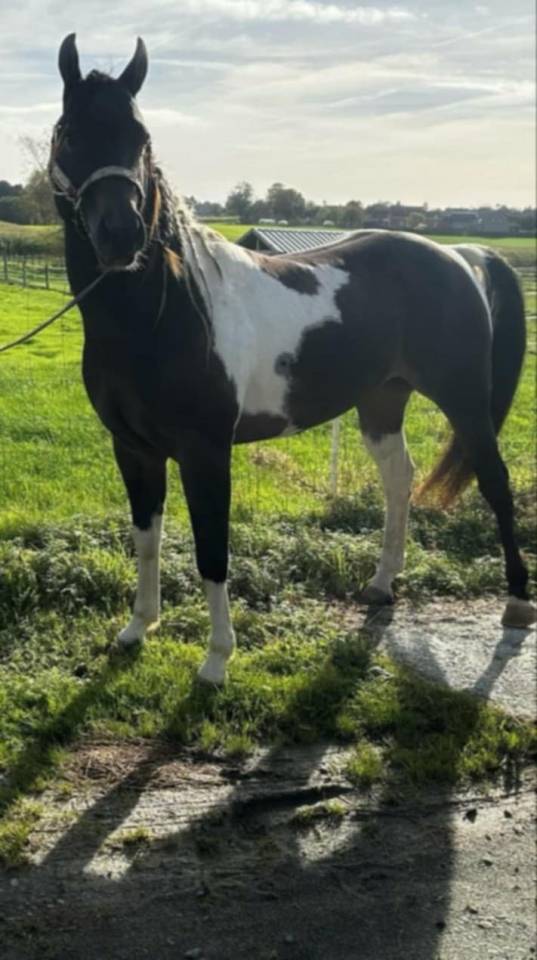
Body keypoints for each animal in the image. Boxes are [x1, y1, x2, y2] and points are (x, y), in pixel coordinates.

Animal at [49, 34, 535, 684]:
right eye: (70, 134)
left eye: (141, 137)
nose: (121, 236)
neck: (163, 313)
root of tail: (459, 254)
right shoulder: (133, 449)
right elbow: (146, 538)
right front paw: (137, 629)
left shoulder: (206, 452)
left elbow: (212, 551)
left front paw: (216, 661)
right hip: (382, 401)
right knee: (399, 478)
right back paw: (382, 584)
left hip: (464, 401)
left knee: (495, 482)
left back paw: (517, 602)